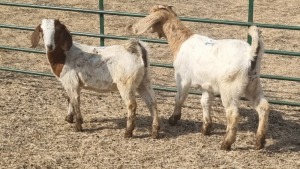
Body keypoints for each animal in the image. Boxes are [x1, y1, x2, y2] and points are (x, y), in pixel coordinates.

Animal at [31, 18, 159, 139]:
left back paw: (128, 133)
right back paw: (154, 132)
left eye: (57, 30)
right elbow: (69, 99)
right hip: (144, 80)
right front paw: (69, 118)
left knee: (132, 105)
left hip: (126, 83)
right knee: (152, 102)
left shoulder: (71, 81)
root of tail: (137, 49)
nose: (49, 46)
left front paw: (78, 126)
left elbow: (75, 101)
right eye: (41, 30)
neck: (63, 56)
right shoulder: (72, 83)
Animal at [126, 4, 270, 149]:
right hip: (253, 84)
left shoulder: (182, 78)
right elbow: (204, 102)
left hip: (229, 88)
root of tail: (250, 54)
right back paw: (259, 141)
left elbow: (179, 98)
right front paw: (206, 128)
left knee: (233, 114)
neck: (181, 40)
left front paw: (173, 118)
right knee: (263, 106)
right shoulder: (207, 85)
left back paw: (226, 143)